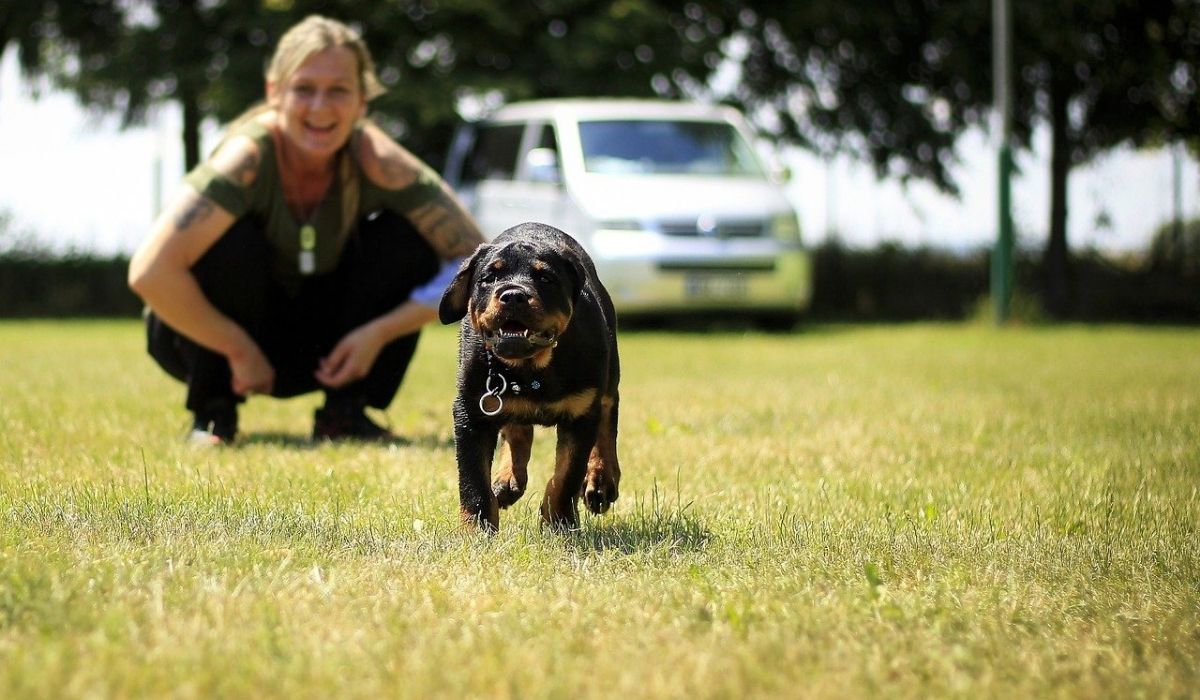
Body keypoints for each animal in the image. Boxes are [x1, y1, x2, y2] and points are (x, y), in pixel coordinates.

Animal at [444, 222, 628, 533]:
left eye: (546, 278)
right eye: (489, 278)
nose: (512, 295)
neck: (531, 368)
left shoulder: (581, 413)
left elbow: (566, 477)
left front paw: (559, 524)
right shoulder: (472, 410)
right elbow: (473, 481)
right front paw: (477, 530)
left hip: (608, 372)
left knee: (607, 414)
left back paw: (601, 481)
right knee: (517, 428)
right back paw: (507, 479)